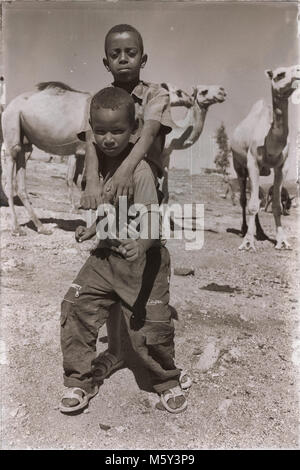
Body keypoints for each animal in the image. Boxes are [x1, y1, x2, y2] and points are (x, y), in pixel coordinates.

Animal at [0, 81, 192, 237]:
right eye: (178, 91)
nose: (190, 98)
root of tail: (10, 105)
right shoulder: (86, 149)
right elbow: (87, 185)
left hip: (26, 141)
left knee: (22, 181)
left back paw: (41, 227)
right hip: (12, 126)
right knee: (10, 175)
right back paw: (16, 228)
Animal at [231, 65, 298, 253]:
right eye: (279, 74)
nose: (298, 71)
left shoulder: (282, 167)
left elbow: (276, 205)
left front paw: (282, 242)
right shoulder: (252, 161)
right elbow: (253, 204)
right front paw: (247, 243)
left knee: (257, 197)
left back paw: (259, 232)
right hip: (239, 166)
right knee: (244, 199)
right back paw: (244, 229)